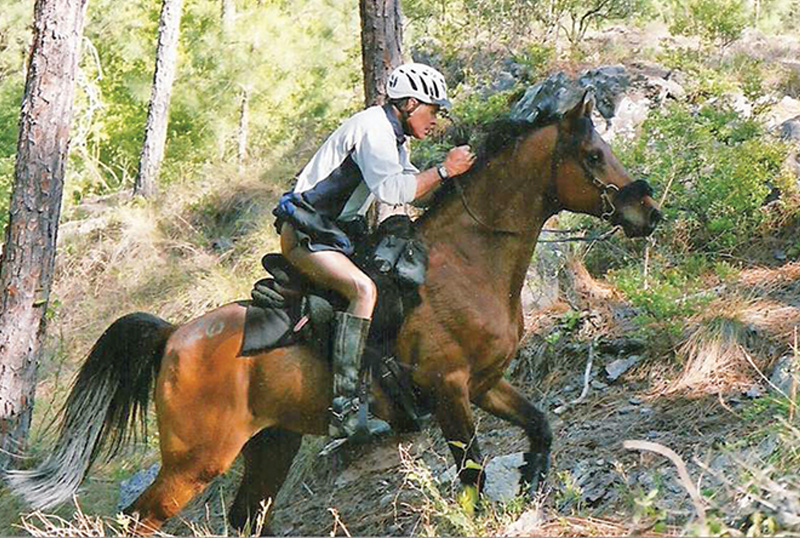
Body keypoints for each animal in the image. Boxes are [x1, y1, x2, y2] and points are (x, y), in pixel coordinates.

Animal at [6, 90, 661, 534]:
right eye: (594, 154)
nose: (648, 214)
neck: (468, 262)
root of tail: (174, 337)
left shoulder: (485, 384)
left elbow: (540, 428)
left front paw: (532, 483)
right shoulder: (449, 388)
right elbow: (472, 472)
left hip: (272, 445)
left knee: (245, 517)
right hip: (196, 462)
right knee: (142, 520)